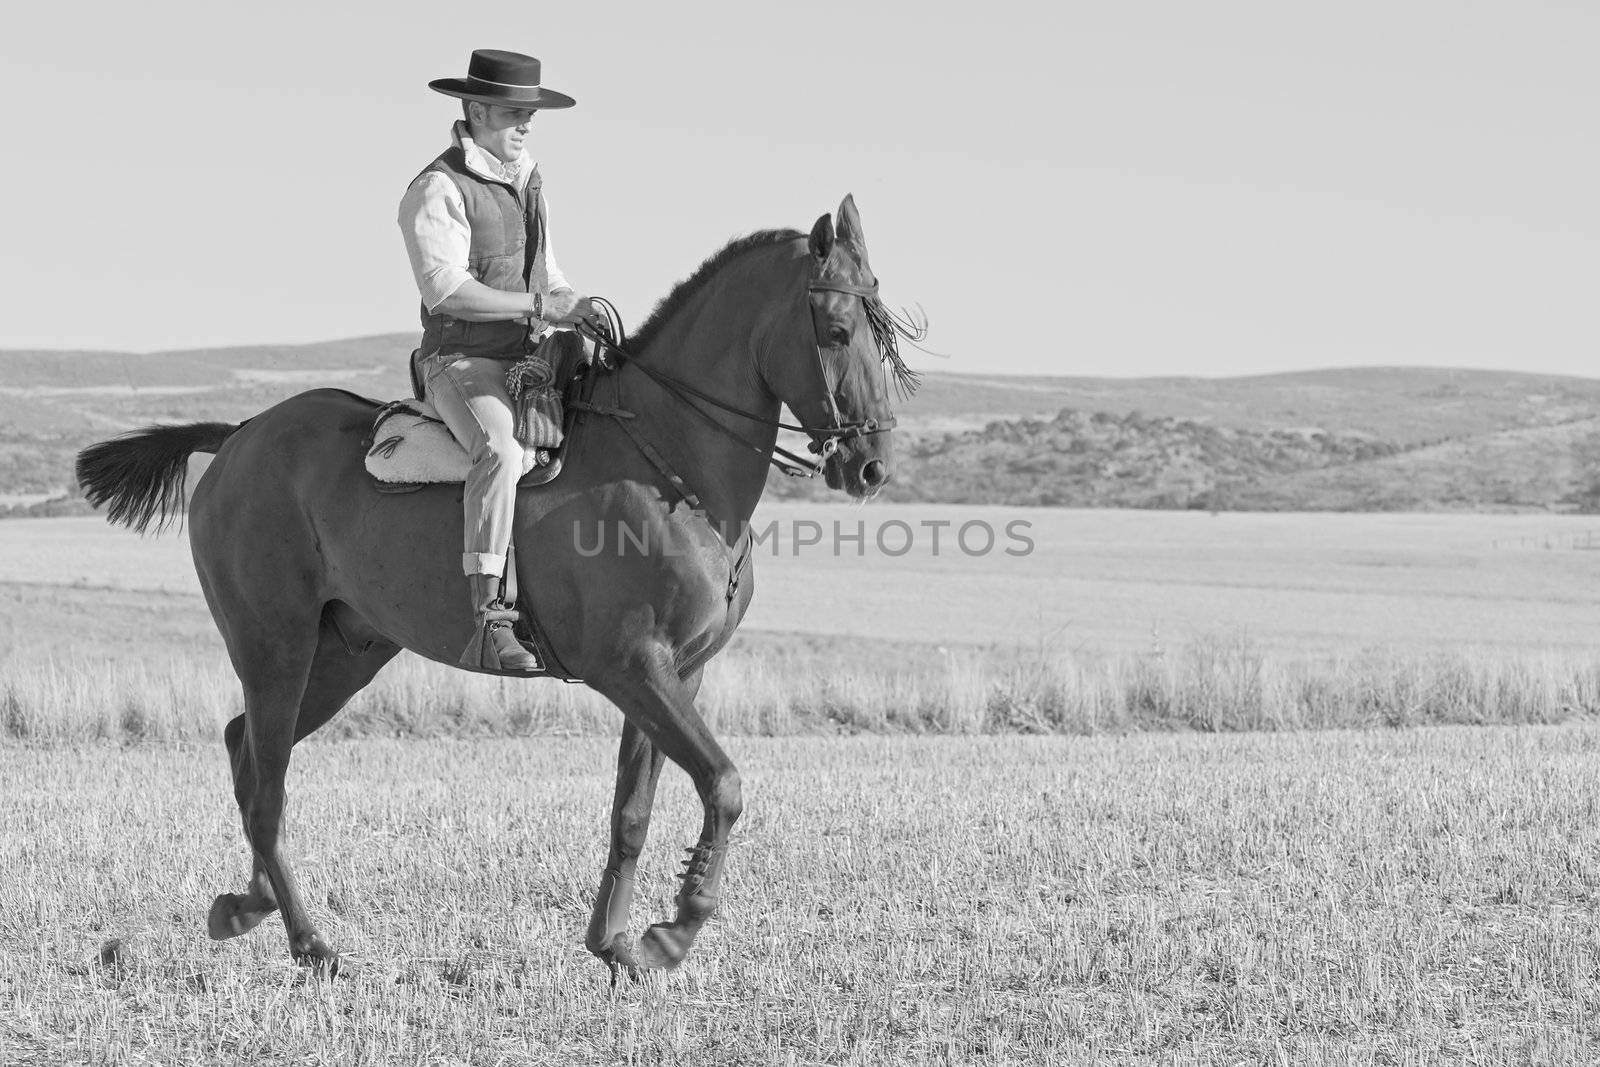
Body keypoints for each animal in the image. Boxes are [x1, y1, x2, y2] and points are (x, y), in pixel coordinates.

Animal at [75, 195, 921, 979]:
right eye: (836, 331)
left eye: (881, 332)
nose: (872, 466)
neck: (668, 463)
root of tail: (239, 436)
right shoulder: (632, 667)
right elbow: (723, 783)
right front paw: (672, 932)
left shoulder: (677, 673)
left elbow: (633, 811)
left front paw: (616, 944)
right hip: (275, 647)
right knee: (267, 785)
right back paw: (311, 942)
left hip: (347, 652)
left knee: (245, 748)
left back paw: (244, 905)